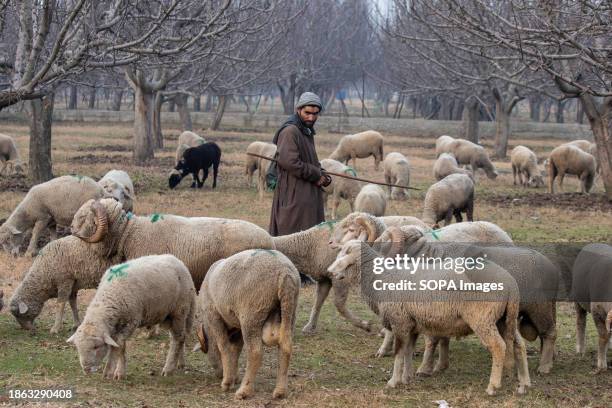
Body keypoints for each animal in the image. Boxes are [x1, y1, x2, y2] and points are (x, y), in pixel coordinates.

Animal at [65, 255, 194, 380]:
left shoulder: (130, 322)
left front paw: (110, 371)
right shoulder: (116, 326)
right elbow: (121, 347)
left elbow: (118, 345)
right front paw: (119, 372)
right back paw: (180, 363)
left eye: (97, 346)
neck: (110, 296)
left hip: (179, 311)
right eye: (77, 347)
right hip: (167, 315)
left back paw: (169, 369)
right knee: (177, 337)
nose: (86, 369)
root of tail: (178, 261)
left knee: (178, 338)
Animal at [197, 249, 300, 398]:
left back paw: (244, 391)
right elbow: (236, 350)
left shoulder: (214, 315)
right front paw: (233, 377)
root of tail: (284, 272)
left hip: (252, 314)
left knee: (255, 352)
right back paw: (280, 391)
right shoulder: (237, 325)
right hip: (289, 309)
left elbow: (224, 347)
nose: (219, 375)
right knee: (285, 347)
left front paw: (227, 382)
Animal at [328, 233, 532, 396]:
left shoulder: (400, 321)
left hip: (483, 318)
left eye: (346, 253)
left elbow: (398, 353)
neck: (381, 278)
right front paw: (407, 378)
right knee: (518, 344)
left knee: (498, 346)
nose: (329, 272)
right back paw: (524, 384)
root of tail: (510, 283)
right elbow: (408, 351)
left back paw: (493, 387)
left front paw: (393, 382)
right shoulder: (411, 324)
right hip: (504, 318)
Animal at [572, 244, 608, 372]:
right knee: (580, 322)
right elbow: (603, 337)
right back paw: (580, 349)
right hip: (578, 301)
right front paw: (601, 365)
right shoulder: (597, 312)